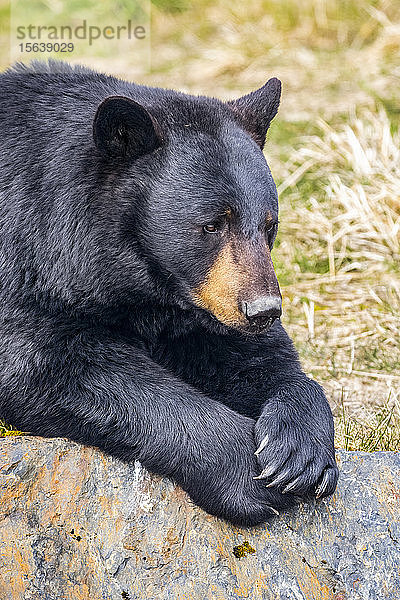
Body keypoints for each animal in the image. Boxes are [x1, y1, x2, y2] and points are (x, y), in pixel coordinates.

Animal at [0, 61, 338, 524]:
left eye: (269, 225)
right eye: (212, 224)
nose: (263, 311)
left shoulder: (201, 306)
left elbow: (257, 358)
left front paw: (298, 453)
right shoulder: (28, 269)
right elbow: (48, 364)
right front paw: (245, 475)